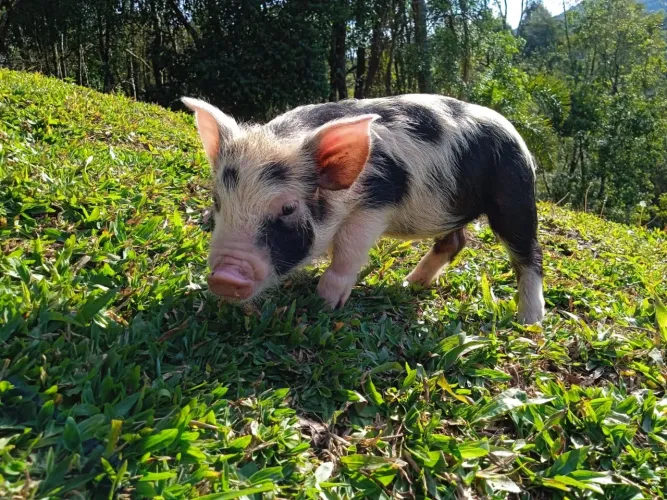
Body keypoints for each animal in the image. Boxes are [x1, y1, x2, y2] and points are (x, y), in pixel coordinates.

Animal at [182, 94, 546, 324]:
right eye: (218, 201)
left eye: (287, 207)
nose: (225, 277)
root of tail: (519, 138)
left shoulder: (376, 202)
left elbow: (348, 252)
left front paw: (324, 303)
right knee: (455, 241)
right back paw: (409, 284)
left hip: (514, 194)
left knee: (529, 254)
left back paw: (529, 324)